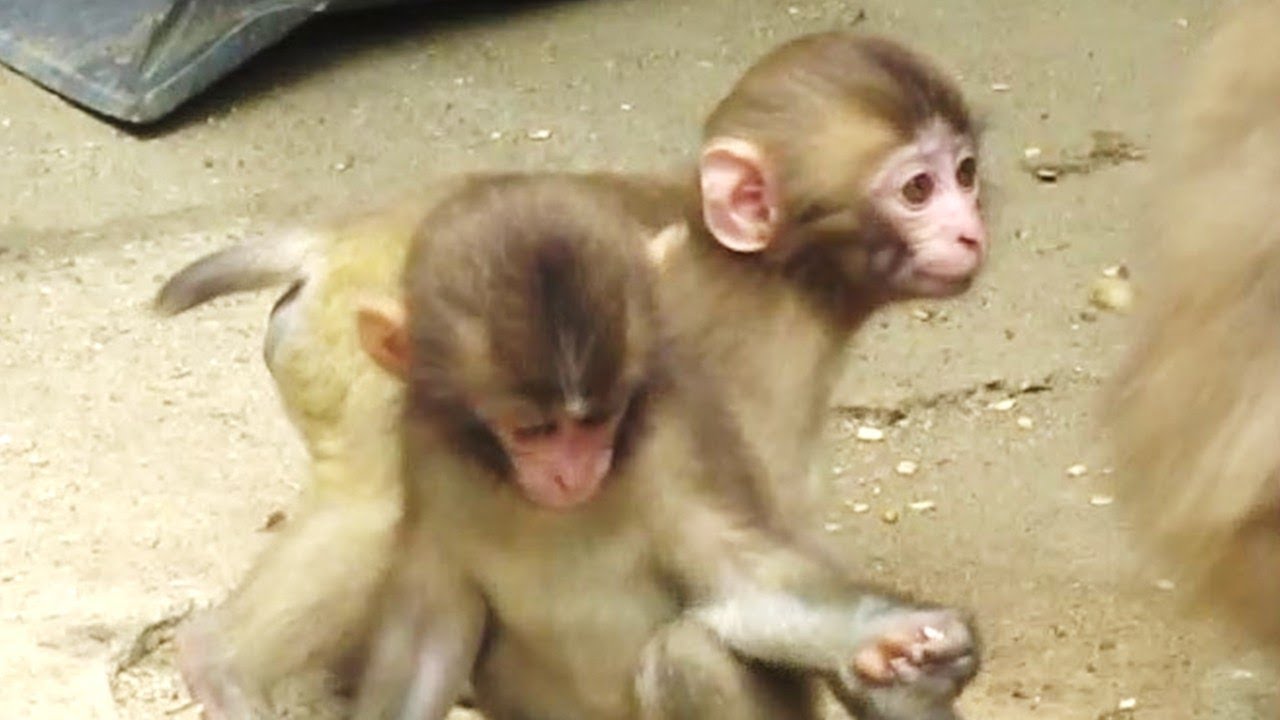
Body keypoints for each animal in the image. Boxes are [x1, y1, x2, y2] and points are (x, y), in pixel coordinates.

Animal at [346, 170, 980, 720]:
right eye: (531, 431)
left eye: (601, 418)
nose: (573, 474)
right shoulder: (430, 460)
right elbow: (428, 641)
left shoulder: (672, 443)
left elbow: (743, 585)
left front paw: (899, 644)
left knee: (686, 656)